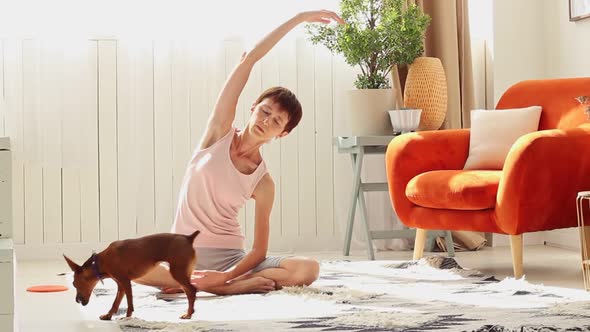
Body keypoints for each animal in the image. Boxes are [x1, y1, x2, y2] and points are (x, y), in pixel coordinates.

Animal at [64, 231, 200, 320]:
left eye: (74, 284)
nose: (76, 301)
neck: (99, 262)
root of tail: (188, 238)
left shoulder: (125, 282)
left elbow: (129, 303)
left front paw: (127, 318)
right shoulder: (120, 285)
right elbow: (116, 303)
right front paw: (108, 315)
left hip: (178, 273)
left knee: (192, 290)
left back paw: (188, 314)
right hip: (183, 274)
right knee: (189, 292)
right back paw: (190, 312)